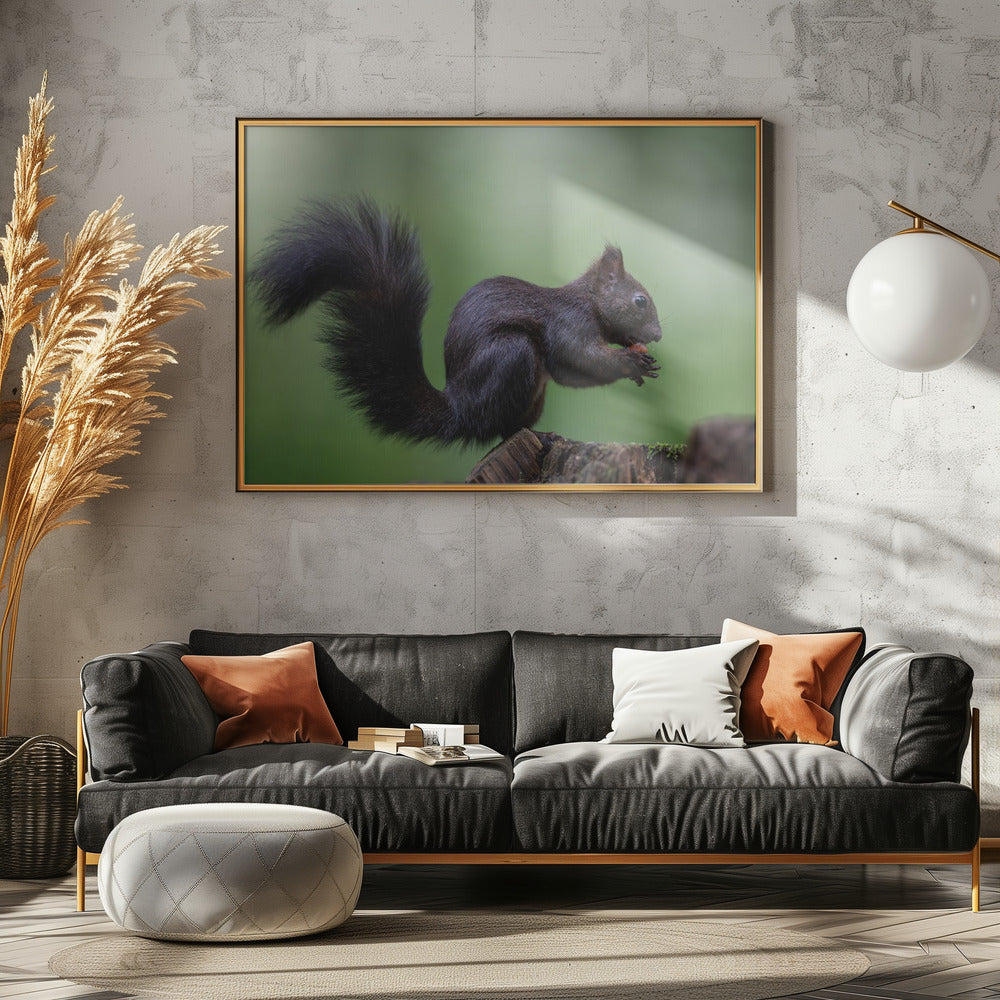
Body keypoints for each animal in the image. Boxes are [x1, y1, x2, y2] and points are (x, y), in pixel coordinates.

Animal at [250, 199, 662, 445]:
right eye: (640, 300)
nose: (658, 335)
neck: (588, 301)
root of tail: (459, 409)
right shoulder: (569, 323)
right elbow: (578, 359)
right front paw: (633, 362)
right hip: (512, 356)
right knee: (498, 428)